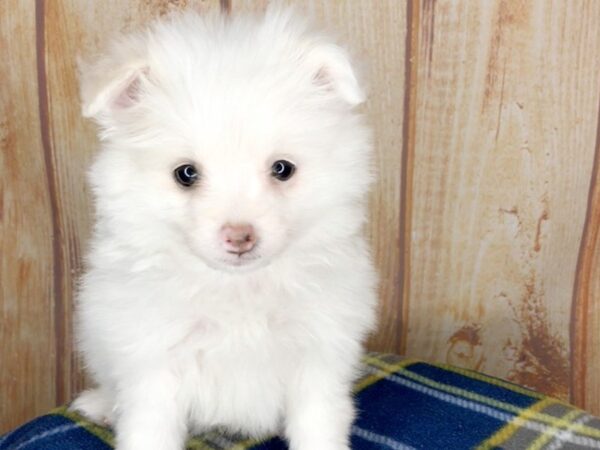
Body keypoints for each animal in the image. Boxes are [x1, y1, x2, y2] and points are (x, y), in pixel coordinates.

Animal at [72, 7, 378, 450]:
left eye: (282, 169)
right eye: (186, 174)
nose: (239, 236)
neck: (238, 289)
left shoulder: (318, 354)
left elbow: (318, 424)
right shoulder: (154, 363)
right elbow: (150, 429)